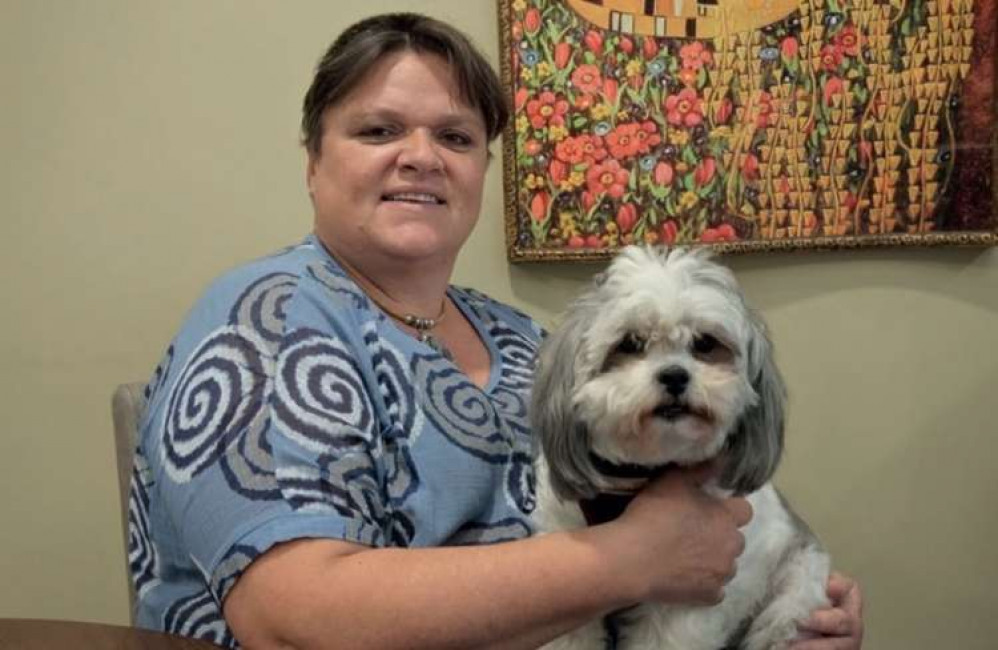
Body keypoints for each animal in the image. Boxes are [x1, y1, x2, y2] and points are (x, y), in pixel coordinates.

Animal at [536, 247, 832, 648]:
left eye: (705, 344)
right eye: (630, 343)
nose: (675, 375)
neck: (635, 479)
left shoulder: (687, 598)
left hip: (792, 597)